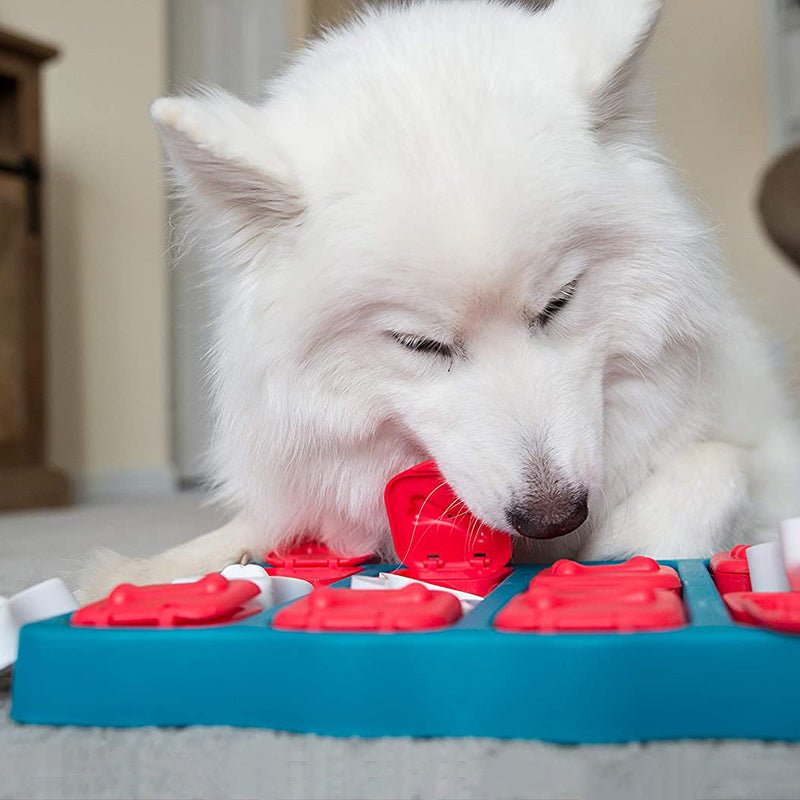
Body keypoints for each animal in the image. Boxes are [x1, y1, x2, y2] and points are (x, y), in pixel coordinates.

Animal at [84, 0, 796, 600]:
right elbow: (250, 526)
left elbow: (714, 470)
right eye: (420, 344)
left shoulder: (760, 447)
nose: (554, 515)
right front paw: (147, 572)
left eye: (559, 303)